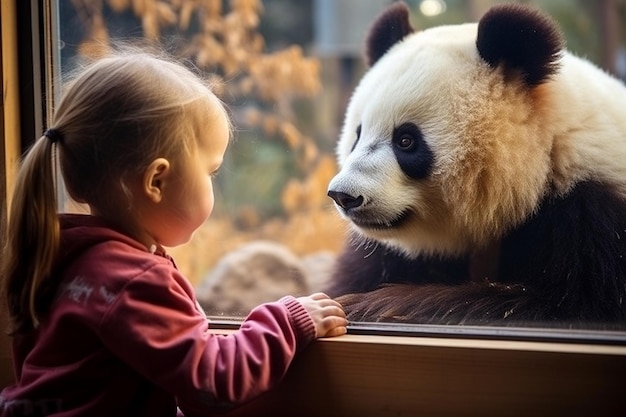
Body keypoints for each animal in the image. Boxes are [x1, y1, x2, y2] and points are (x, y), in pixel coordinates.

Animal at [324, 1, 624, 326]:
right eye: (357, 135)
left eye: (406, 140)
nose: (344, 196)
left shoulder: (592, 216)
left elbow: (569, 306)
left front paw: (373, 305)